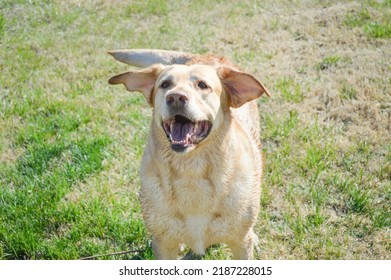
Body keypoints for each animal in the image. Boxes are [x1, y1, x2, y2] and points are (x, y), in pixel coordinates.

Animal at [108, 49, 272, 260]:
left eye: (202, 85)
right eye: (165, 84)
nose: (176, 97)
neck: (191, 172)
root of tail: (207, 56)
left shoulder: (240, 244)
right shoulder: (163, 245)